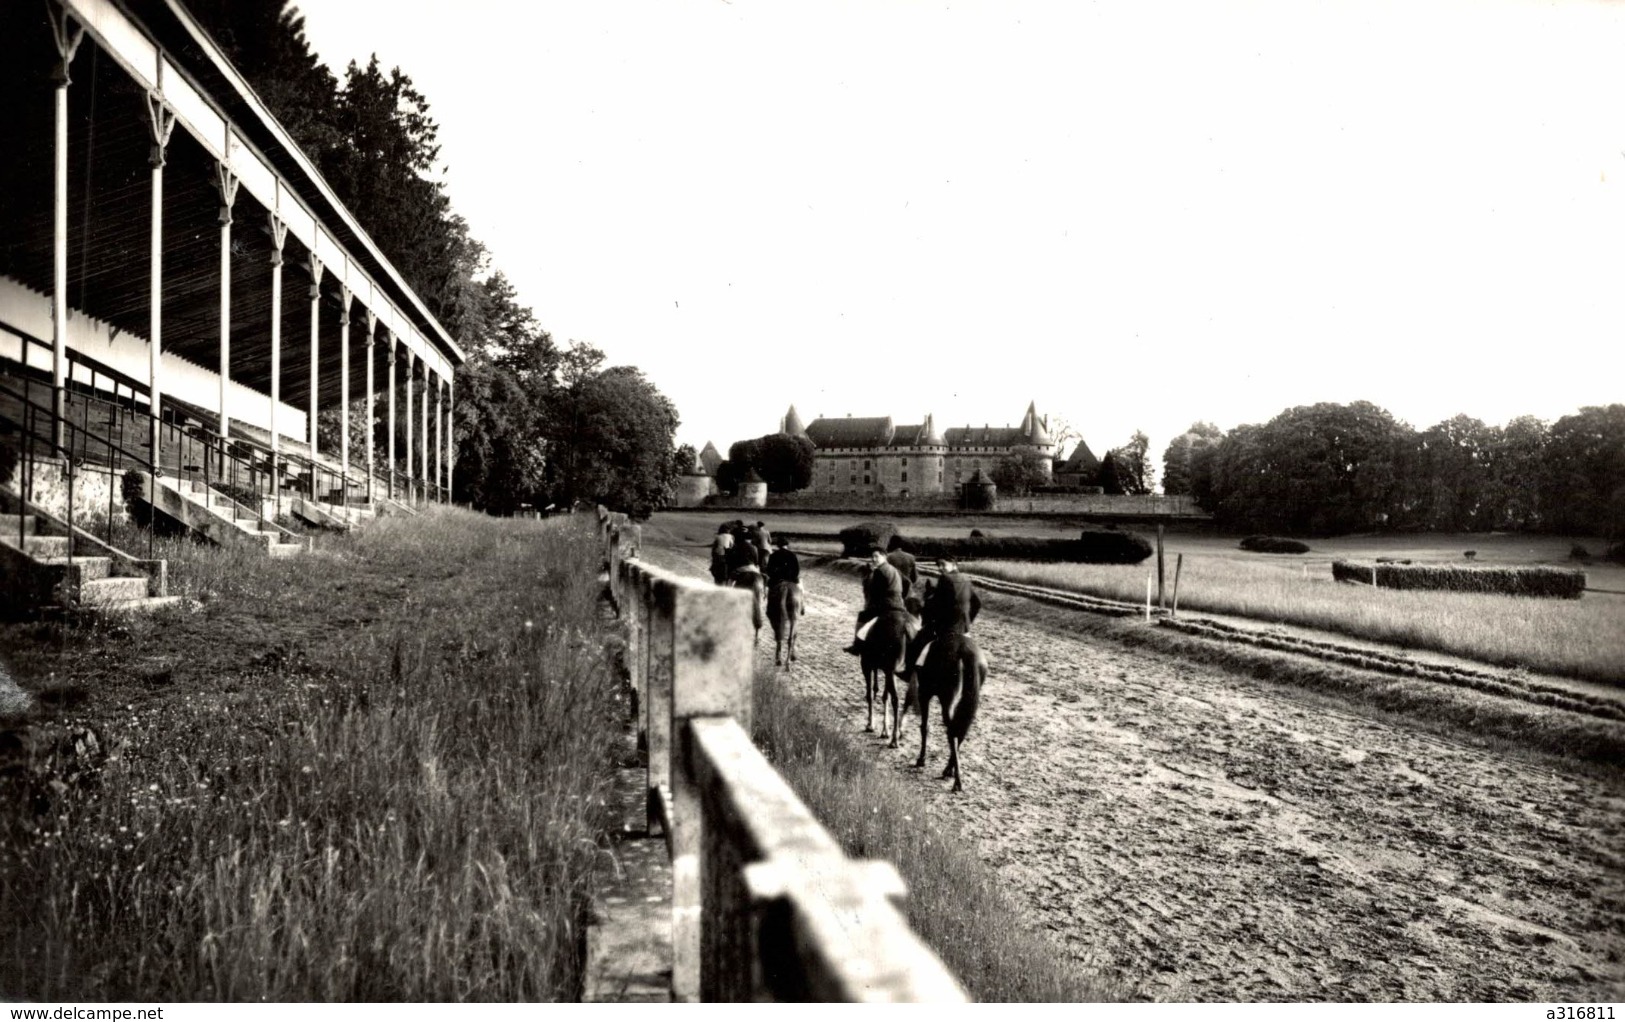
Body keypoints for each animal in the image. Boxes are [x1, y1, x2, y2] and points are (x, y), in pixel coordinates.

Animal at [864, 604, 916, 740]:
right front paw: (884, 730)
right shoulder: (889, 672)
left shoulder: (867, 665)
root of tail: (907, 630)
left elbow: (870, 695)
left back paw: (894, 740)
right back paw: (899, 731)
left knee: (896, 699)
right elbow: (884, 695)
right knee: (908, 698)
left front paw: (870, 725)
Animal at [916, 630, 988, 789]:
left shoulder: (923, 694)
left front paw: (921, 759)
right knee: (959, 730)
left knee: (952, 730)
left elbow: (925, 727)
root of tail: (967, 651)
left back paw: (956, 781)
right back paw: (951, 771)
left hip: (947, 698)